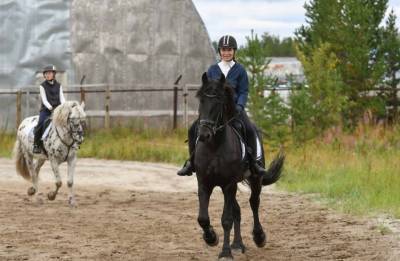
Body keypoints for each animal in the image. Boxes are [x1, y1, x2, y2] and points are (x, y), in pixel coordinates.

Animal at [194, 71, 284, 258]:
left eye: (219, 102)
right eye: (201, 100)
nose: (204, 134)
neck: (214, 147)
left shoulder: (228, 184)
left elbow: (226, 220)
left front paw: (225, 252)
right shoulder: (204, 183)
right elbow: (203, 218)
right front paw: (211, 238)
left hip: (254, 179)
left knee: (253, 203)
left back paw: (258, 237)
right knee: (237, 211)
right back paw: (237, 244)